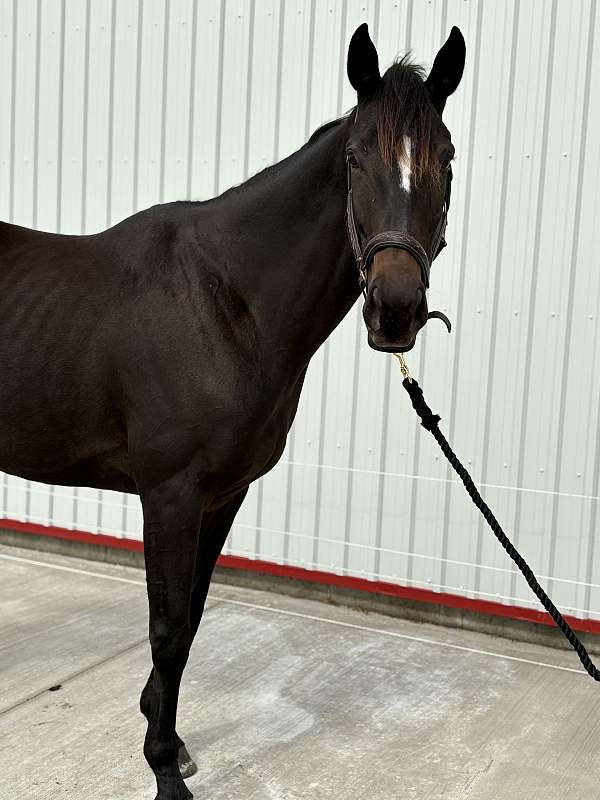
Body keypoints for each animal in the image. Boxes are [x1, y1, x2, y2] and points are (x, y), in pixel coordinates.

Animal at [0, 23, 465, 800]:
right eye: (354, 158)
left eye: (448, 159)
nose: (395, 310)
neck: (226, 303)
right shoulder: (170, 492)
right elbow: (165, 625)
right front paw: (164, 768)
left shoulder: (225, 493)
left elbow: (190, 620)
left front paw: (170, 738)